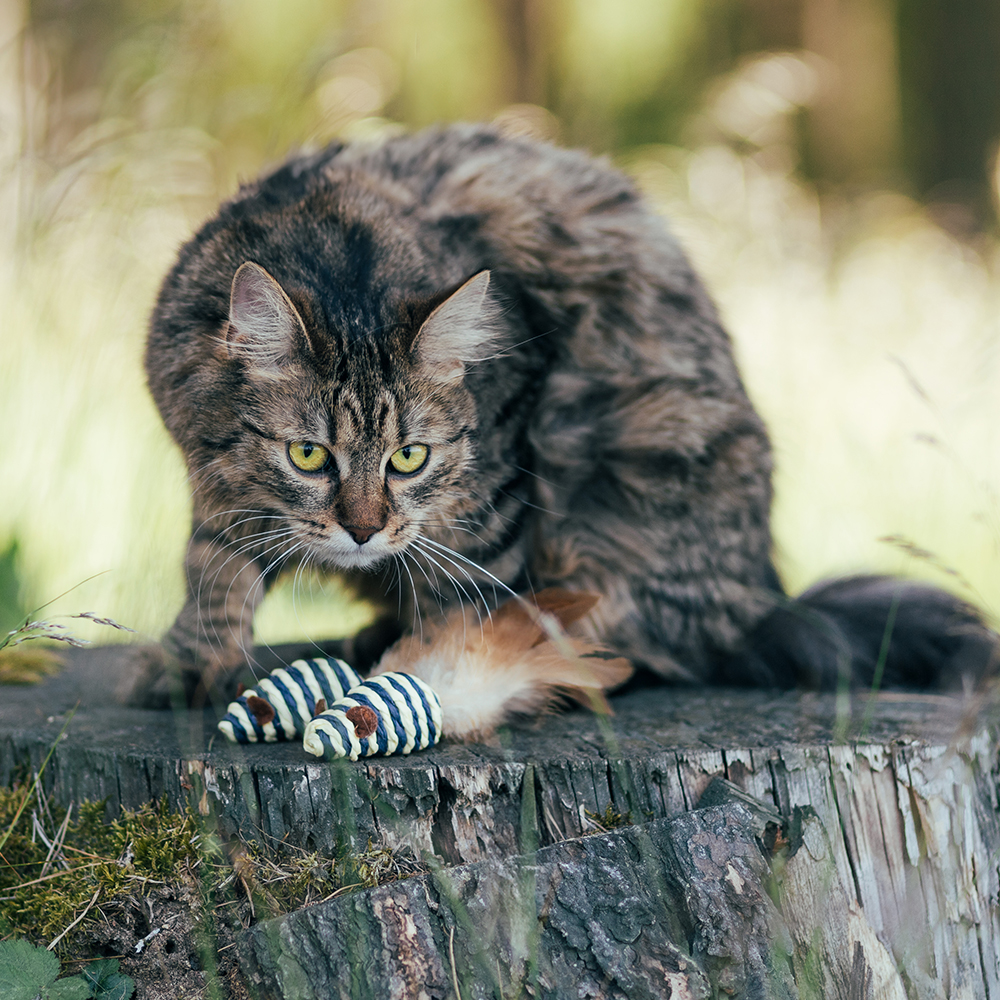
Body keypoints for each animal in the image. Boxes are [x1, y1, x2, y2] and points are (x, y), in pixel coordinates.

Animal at [137, 121, 996, 708]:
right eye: (309, 456)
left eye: (409, 458)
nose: (363, 532)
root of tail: (764, 599)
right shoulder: (215, 483)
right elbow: (215, 565)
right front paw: (191, 664)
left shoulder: (502, 463)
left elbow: (467, 588)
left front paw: (439, 678)